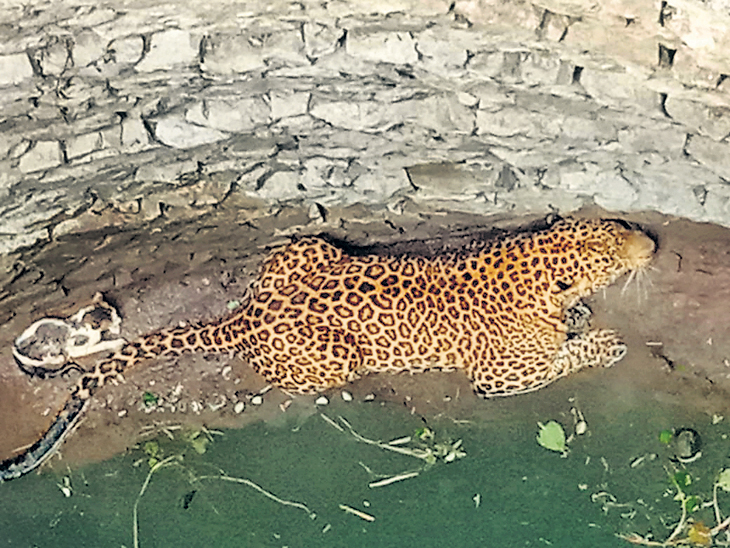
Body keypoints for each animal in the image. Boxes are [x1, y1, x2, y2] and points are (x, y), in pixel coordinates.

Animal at [0, 216, 656, 481]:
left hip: (310, 244)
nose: (649, 242)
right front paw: (604, 343)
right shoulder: (500, 377)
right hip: (337, 359)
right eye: (610, 253)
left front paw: (579, 318)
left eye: (618, 227)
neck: (527, 266)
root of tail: (246, 315)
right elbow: (560, 358)